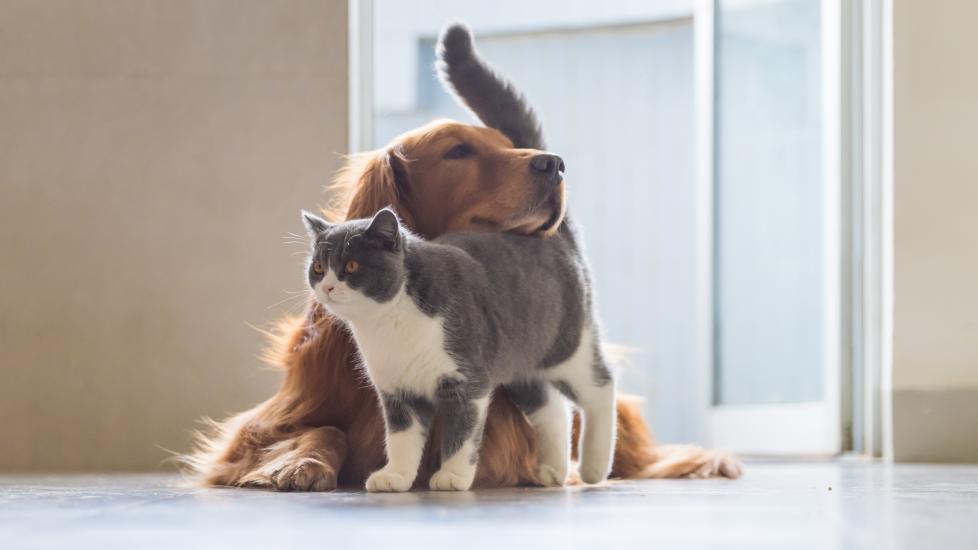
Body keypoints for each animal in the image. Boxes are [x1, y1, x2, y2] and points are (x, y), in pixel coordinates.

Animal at [302, 209, 612, 494]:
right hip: (521, 366)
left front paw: (452, 476)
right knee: (552, 409)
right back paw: (553, 471)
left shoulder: (468, 379)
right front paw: (396, 475)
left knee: (601, 386)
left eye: (352, 265)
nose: (327, 287)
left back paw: (595, 466)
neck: (387, 322)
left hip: (568, 347)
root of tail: (557, 237)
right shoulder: (398, 391)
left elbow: (461, 432)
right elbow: (401, 438)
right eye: (318, 267)